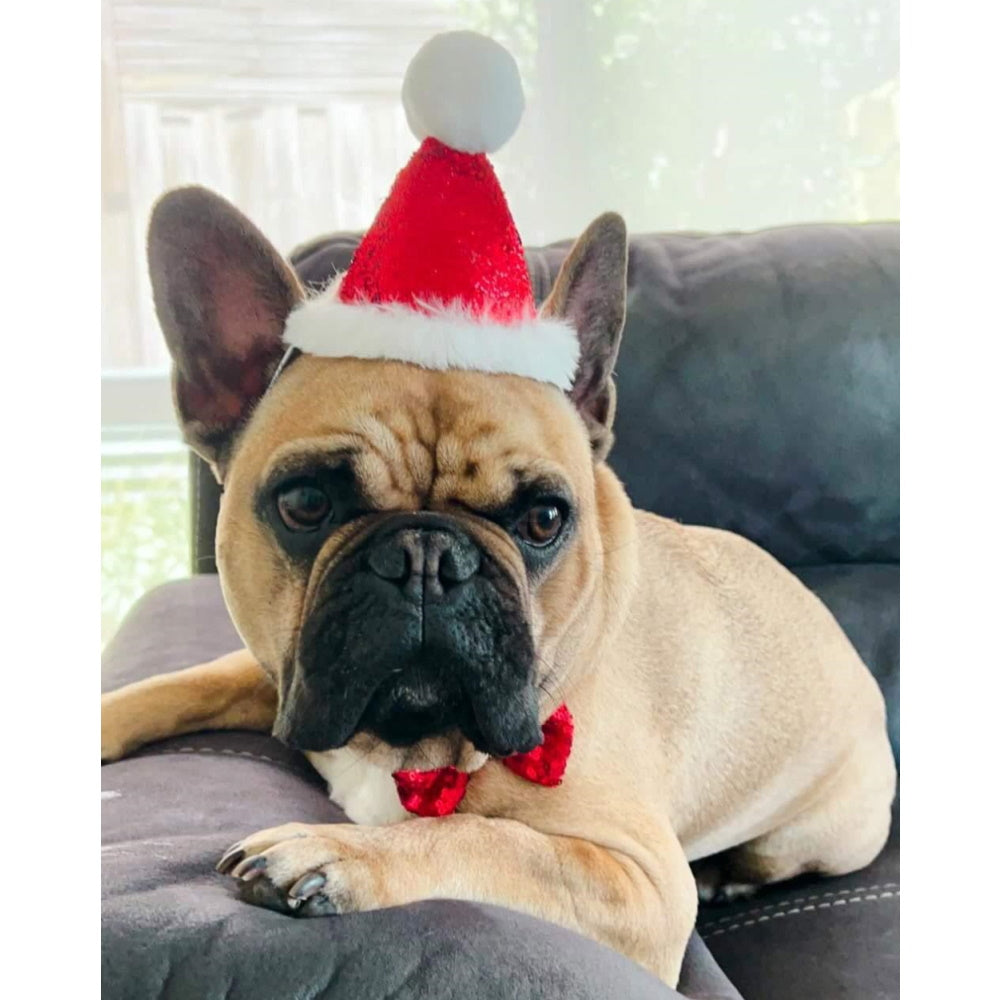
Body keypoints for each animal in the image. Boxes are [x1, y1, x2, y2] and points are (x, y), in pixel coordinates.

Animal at [103, 186, 900, 984]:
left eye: (544, 518)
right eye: (304, 503)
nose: (426, 557)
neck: (407, 749)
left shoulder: (640, 884)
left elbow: (485, 837)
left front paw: (338, 851)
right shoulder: (283, 670)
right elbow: (182, 682)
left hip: (814, 831)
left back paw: (727, 874)